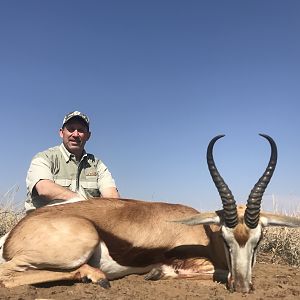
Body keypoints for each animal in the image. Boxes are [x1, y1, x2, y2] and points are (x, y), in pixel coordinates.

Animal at [0, 135, 298, 292]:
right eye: (226, 239)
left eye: (258, 240)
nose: (243, 287)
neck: (203, 234)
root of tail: (13, 233)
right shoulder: (192, 261)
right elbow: (217, 272)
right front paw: (157, 273)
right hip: (78, 244)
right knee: (6, 274)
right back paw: (95, 276)